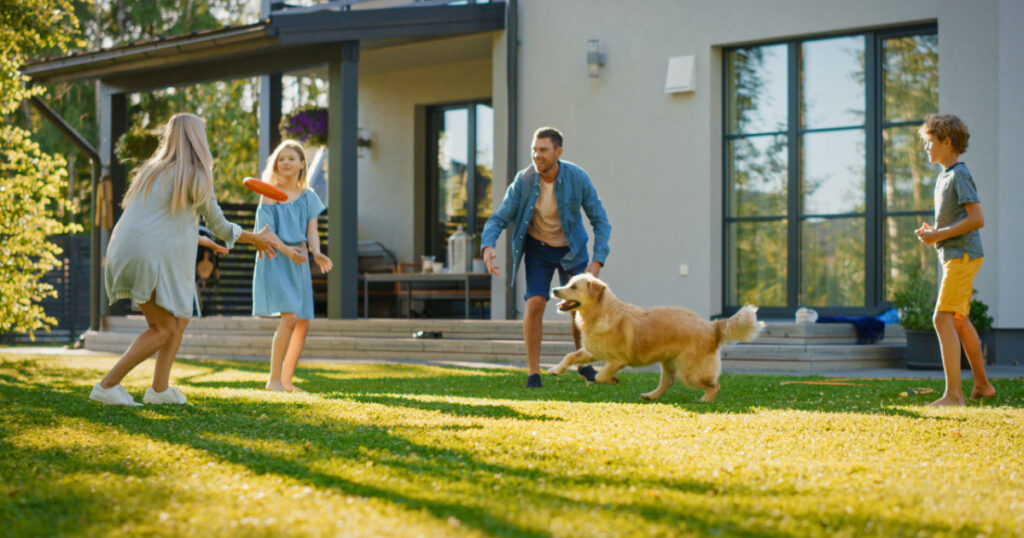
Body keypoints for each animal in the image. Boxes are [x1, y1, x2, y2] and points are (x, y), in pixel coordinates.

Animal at [548, 274, 757, 399]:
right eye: (568, 283)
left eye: (574, 287)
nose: (554, 290)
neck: (601, 312)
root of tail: (711, 325)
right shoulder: (592, 351)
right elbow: (570, 356)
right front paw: (555, 370)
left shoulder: (618, 360)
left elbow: (600, 375)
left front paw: (612, 380)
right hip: (668, 363)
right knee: (667, 383)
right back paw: (650, 395)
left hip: (690, 372)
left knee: (715, 386)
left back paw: (705, 400)